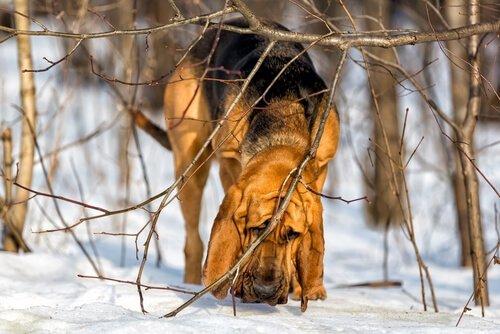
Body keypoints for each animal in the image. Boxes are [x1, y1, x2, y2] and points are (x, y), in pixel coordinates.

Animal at [164, 18, 340, 310]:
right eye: (255, 229)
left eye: (293, 235)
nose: (264, 290)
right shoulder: (229, 162)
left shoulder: (323, 164)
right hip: (189, 163)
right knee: (193, 241)